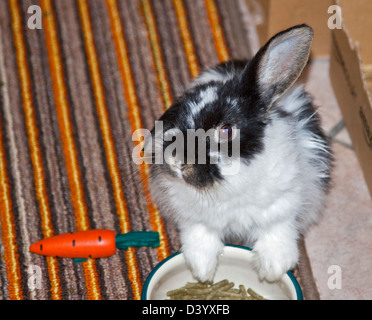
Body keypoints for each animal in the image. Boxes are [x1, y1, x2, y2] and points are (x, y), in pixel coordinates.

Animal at [145, 25, 332, 282]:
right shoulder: (193, 215)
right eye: (179, 115)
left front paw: (274, 268)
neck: (230, 182)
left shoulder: (284, 203)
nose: (177, 161)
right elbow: (200, 235)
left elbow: (277, 230)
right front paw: (202, 269)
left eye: (226, 130)